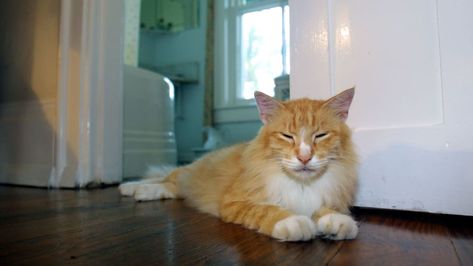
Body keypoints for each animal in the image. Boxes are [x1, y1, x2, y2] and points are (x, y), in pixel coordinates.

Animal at [119, 88, 358, 242]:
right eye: (287, 136)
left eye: (320, 135)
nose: (305, 157)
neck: (302, 185)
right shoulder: (234, 202)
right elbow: (267, 211)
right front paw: (293, 222)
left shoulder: (329, 197)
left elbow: (328, 210)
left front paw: (337, 222)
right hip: (186, 173)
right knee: (165, 178)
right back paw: (132, 188)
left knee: (171, 187)